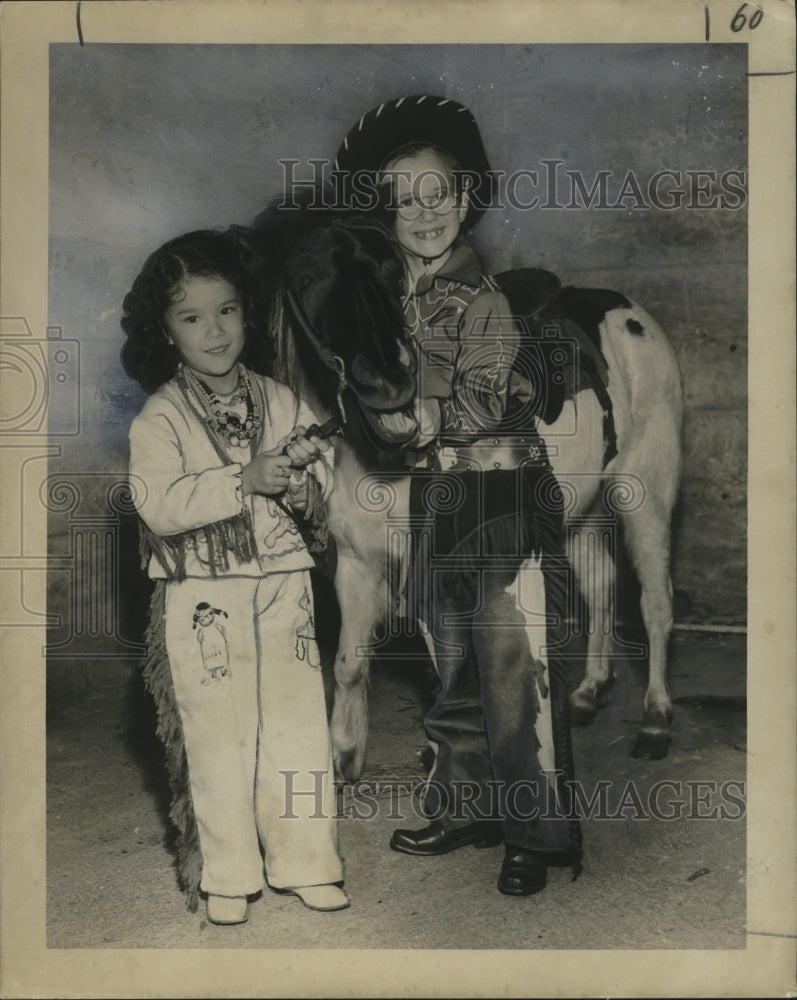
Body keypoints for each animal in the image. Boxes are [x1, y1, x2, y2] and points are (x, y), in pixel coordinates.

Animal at [246, 205, 680, 780]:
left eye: (393, 275)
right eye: (307, 279)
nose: (390, 384)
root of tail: (630, 313)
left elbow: (449, 666)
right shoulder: (359, 563)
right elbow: (348, 663)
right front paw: (342, 756)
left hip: (647, 493)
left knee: (655, 602)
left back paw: (655, 721)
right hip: (580, 513)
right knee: (601, 583)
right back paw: (589, 693)